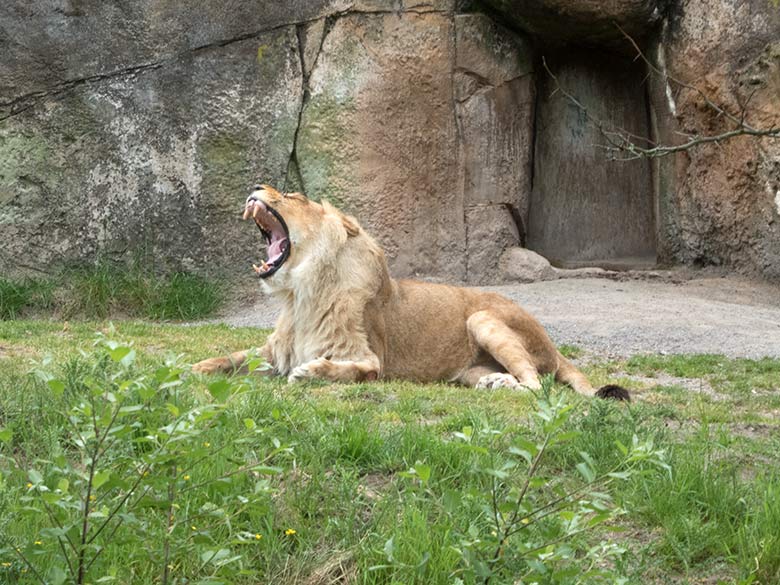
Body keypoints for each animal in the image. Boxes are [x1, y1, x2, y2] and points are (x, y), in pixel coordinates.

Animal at [192, 185, 632, 400]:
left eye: (292, 197)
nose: (255, 186)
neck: (301, 294)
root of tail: (555, 346)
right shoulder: (271, 351)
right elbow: (227, 357)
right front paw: (190, 368)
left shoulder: (372, 357)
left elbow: (354, 371)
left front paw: (311, 372)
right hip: (468, 367)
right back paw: (494, 383)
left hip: (482, 316)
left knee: (538, 387)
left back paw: (506, 387)